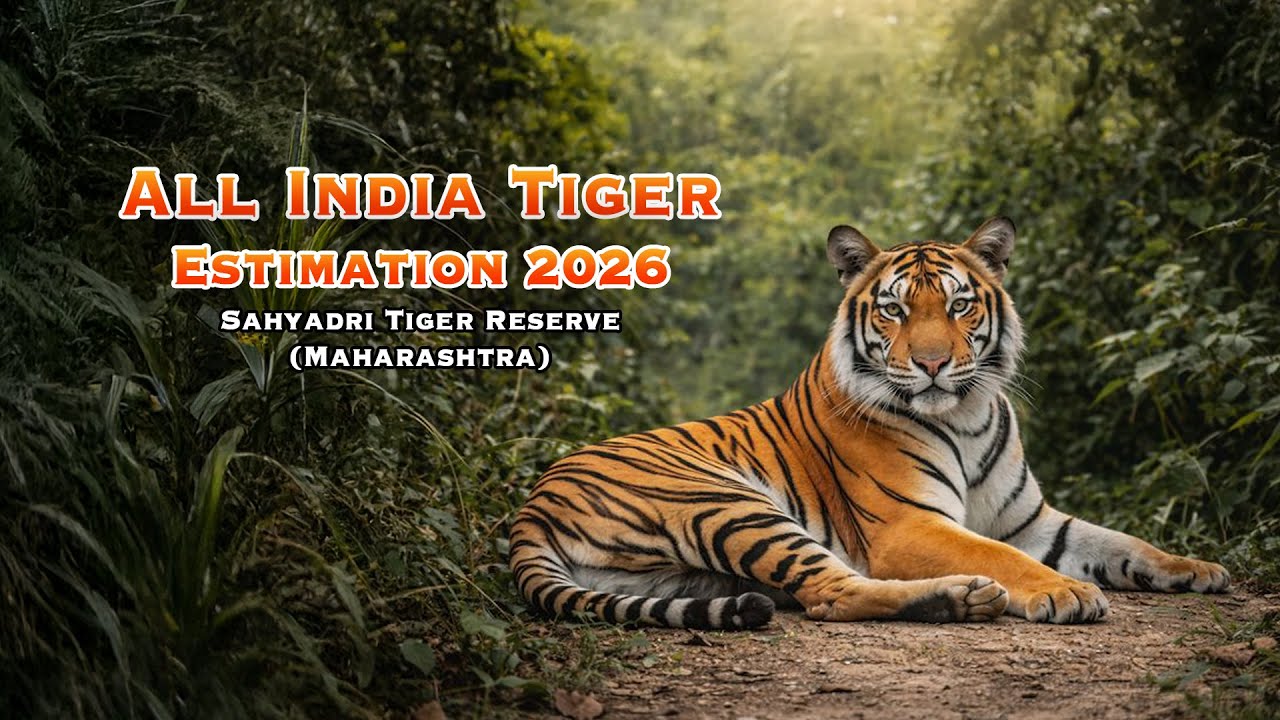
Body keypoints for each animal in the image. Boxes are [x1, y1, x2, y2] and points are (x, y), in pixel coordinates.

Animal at [508, 217, 1230, 629]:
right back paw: (960, 599)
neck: (965, 413)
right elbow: (999, 555)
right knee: (831, 593)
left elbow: (1123, 542)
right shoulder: (909, 523)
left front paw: (1196, 568)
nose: (934, 363)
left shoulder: (1030, 519)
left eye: (960, 306)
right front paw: (1065, 594)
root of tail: (532, 503)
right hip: (728, 504)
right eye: (894, 310)